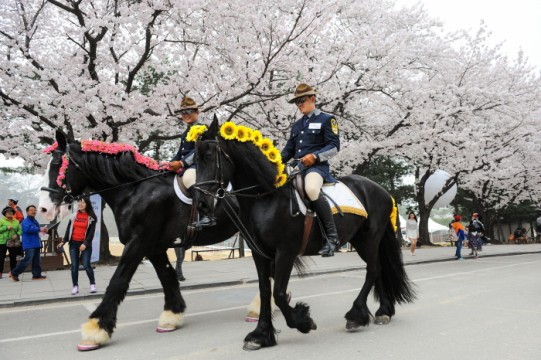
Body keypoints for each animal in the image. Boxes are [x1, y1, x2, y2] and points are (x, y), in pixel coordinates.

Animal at [39, 131, 238, 350]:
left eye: (57, 165)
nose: (44, 209)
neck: (134, 190)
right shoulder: (153, 247)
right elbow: (167, 278)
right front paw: (172, 315)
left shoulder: (138, 242)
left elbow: (118, 281)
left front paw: (96, 329)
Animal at [195, 119, 418, 350]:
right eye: (195, 159)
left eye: (209, 156)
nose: (201, 204)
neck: (266, 197)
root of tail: (383, 191)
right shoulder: (260, 253)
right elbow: (265, 291)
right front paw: (260, 334)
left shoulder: (286, 252)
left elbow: (279, 293)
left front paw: (302, 321)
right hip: (361, 240)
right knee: (379, 270)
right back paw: (383, 312)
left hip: (369, 240)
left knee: (373, 270)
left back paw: (356, 315)